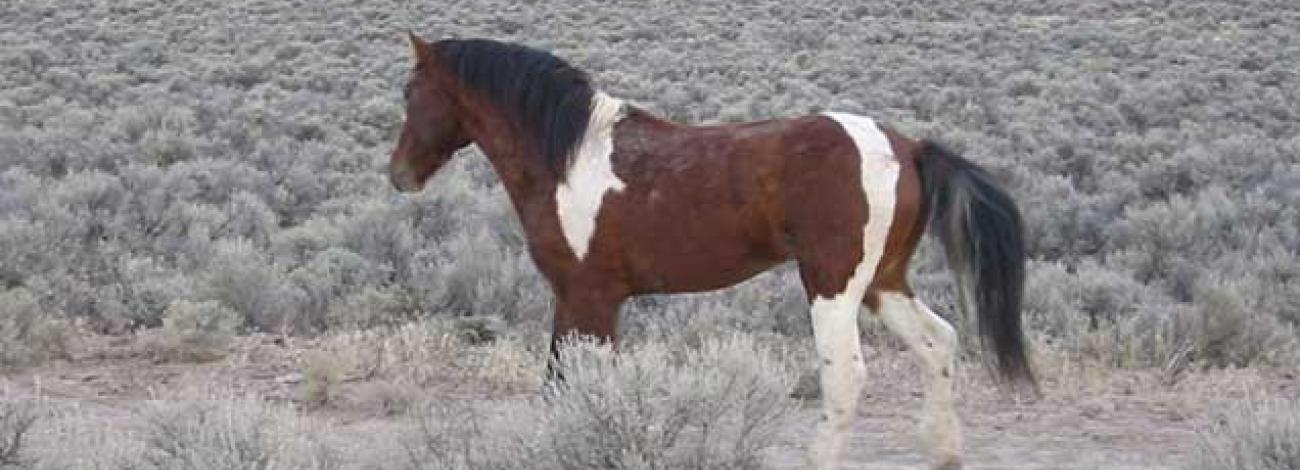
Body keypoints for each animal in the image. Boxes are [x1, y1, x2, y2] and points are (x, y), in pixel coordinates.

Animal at [390, 33, 1029, 470]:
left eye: (410, 91)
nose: (399, 175)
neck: (569, 161)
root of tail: (908, 146)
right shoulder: (589, 302)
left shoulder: (585, 297)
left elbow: (568, 384)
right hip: (883, 282)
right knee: (937, 341)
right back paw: (943, 452)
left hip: (833, 284)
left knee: (846, 374)